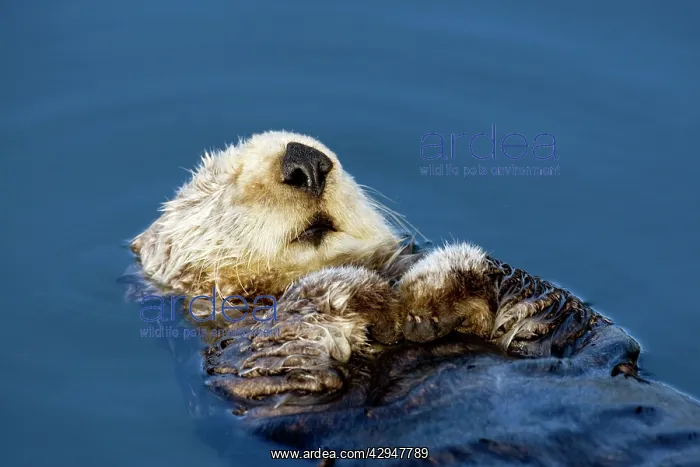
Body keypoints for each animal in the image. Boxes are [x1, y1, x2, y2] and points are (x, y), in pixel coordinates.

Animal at [126, 131, 700, 465]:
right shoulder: (253, 380)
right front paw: (361, 291)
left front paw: (430, 289)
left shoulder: (574, 335)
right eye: (215, 184)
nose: (305, 161)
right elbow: (282, 351)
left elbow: (553, 310)